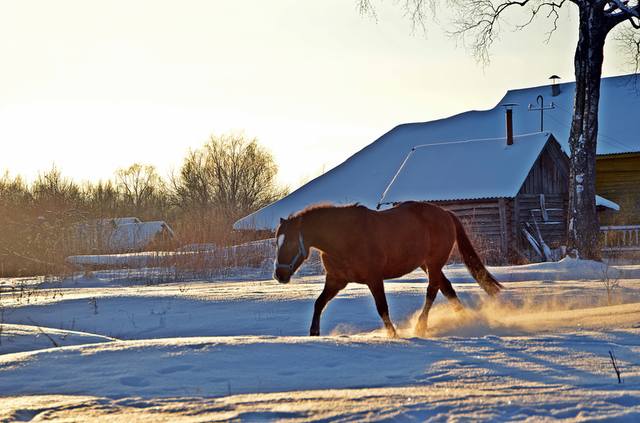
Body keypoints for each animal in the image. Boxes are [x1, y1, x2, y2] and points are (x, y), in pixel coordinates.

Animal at [272, 202, 502, 338]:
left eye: (290, 242)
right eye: (276, 241)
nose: (279, 275)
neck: (344, 237)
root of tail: (446, 213)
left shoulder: (374, 279)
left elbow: (382, 308)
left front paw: (393, 335)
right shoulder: (335, 280)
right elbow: (319, 303)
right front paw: (314, 334)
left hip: (434, 262)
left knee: (433, 290)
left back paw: (421, 326)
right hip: (426, 264)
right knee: (446, 288)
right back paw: (466, 319)